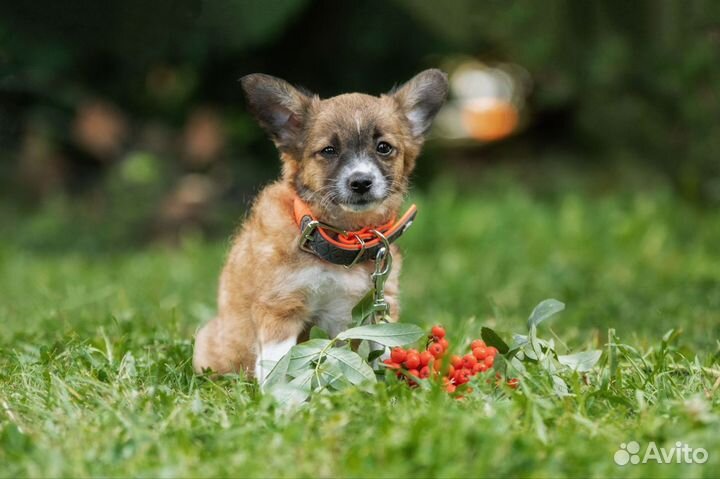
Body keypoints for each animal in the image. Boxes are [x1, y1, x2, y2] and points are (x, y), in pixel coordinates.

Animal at [194, 69, 448, 382]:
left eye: (384, 148)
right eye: (328, 150)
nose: (361, 182)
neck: (345, 238)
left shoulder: (378, 308)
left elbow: (385, 351)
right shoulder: (281, 308)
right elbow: (279, 366)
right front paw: (281, 395)